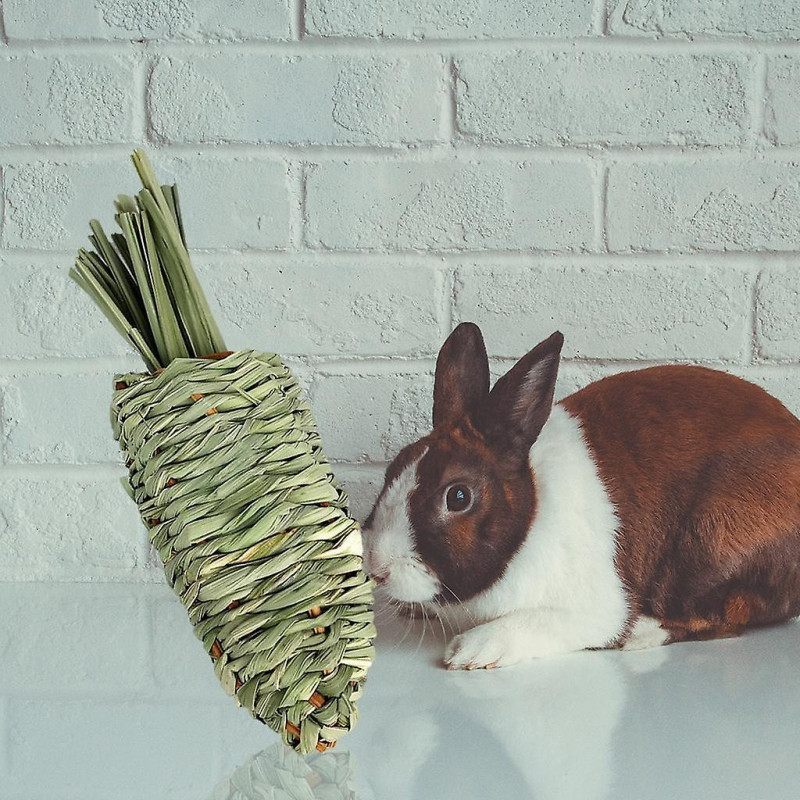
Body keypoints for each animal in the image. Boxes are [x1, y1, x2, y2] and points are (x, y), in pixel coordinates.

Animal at [361, 322, 800, 670]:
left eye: (457, 497)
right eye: (392, 469)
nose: (378, 570)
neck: (532, 514)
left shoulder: (591, 608)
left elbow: (542, 622)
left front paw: (473, 650)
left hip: (709, 544)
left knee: (732, 613)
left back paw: (640, 633)